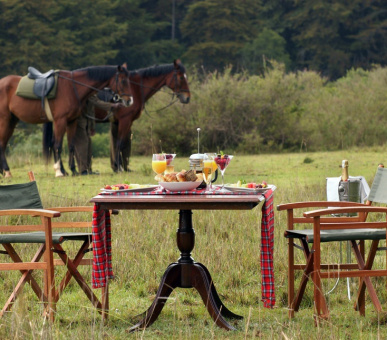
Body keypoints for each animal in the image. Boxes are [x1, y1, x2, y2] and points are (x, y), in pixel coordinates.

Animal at [0, 65, 133, 179]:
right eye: (123, 81)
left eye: (128, 80)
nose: (130, 101)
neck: (72, 87)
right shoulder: (60, 121)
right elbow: (57, 145)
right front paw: (59, 171)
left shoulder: (71, 121)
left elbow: (71, 145)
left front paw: (72, 170)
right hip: (5, 121)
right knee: (2, 144)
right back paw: (7, 172)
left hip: (12, 121)